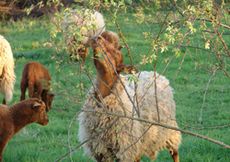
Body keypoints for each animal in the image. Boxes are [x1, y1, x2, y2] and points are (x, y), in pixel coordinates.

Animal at [77, 33, 181, 161]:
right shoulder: (100, 151)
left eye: (117, 50)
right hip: (139, 142)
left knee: (175, 153)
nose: (97, 39)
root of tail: (155, 74)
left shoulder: (125, 149)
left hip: (168, 131)